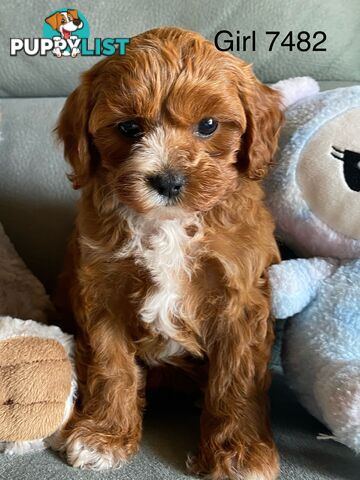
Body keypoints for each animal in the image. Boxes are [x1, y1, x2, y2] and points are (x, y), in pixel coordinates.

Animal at [54, 27, 282, 480]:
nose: (168, 180)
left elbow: (238, 376)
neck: (170, 223)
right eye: (128, 127)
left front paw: (241, 453)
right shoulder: (103, 290)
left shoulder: (240, 297)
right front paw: (104, 436)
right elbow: (111, 365)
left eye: (208, 125)